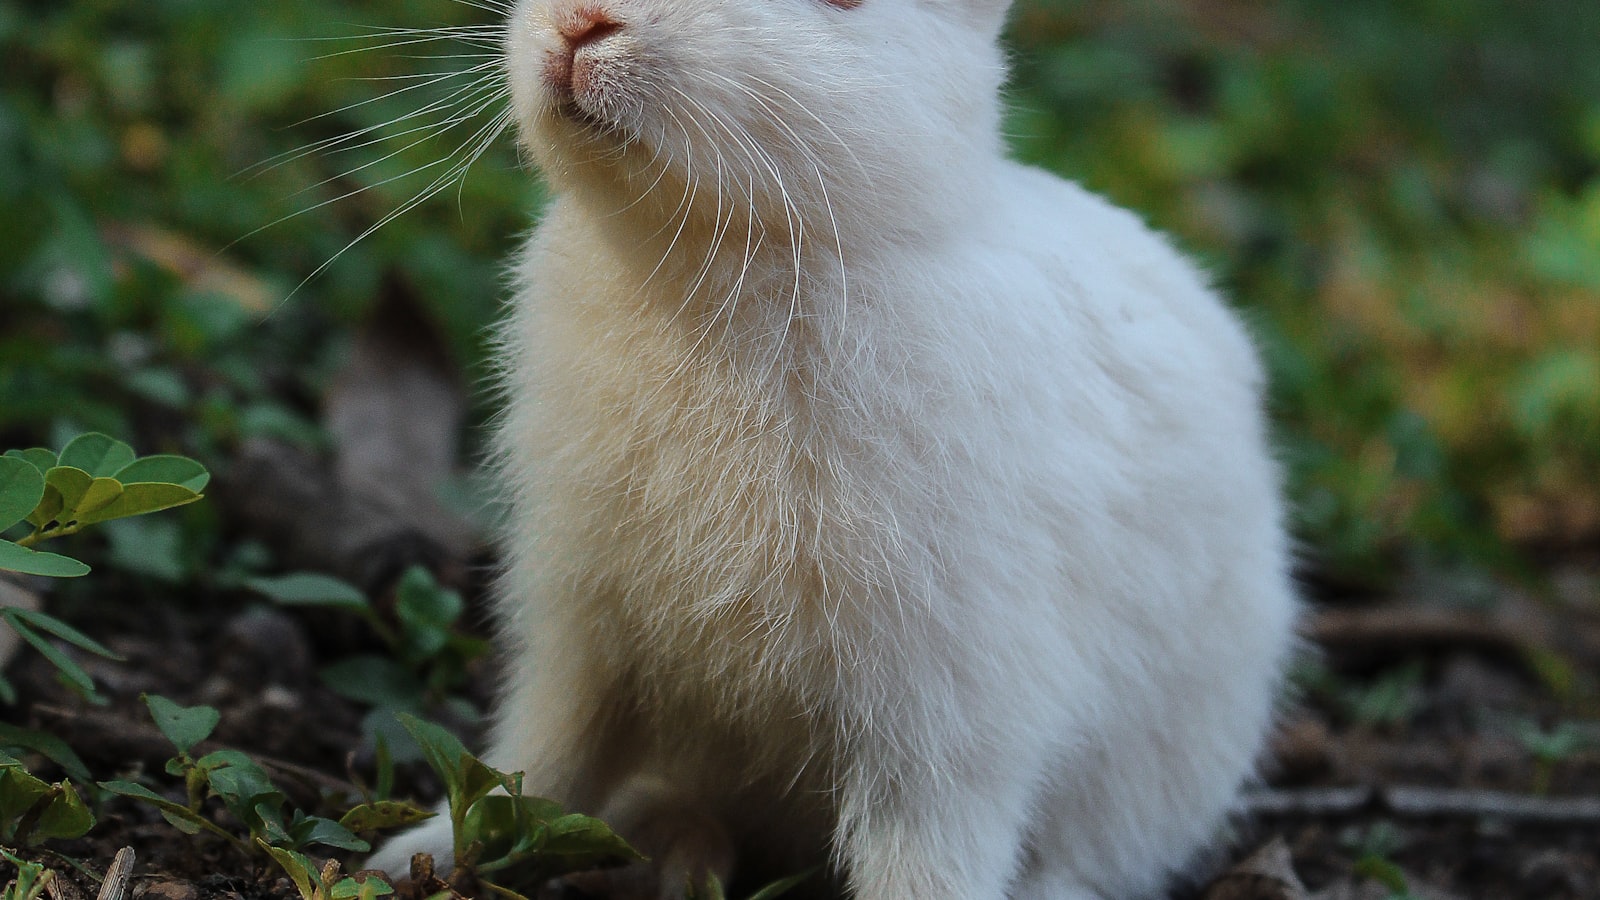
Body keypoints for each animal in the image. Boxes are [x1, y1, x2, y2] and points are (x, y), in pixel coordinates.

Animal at [368, 0, 1300, 897]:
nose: (581, 22)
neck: (720, 249)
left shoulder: (949, 711)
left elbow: (928, 858)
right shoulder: (585, 633)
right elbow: (539, 764)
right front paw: (418, 855)